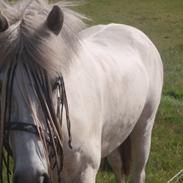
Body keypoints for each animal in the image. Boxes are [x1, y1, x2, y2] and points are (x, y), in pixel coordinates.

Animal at [0, 0, 163, 183]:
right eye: (0, 85)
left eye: (55, 83)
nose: (30, 176)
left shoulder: (85, 171)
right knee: (117, 165)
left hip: (144, 128)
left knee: (138, 170)